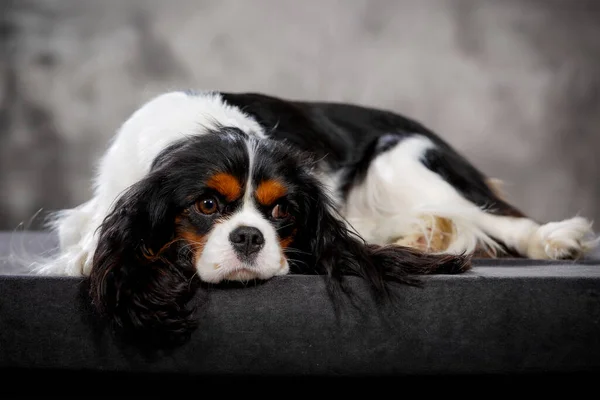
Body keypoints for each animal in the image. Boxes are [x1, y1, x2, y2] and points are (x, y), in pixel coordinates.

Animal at [36, 90, 596, 340]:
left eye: (281, 209)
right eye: (208, 205)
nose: (249, 237)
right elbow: (89, 243)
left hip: (401, 156)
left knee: (502, 218)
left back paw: (553, 239)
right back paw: (422, 235)